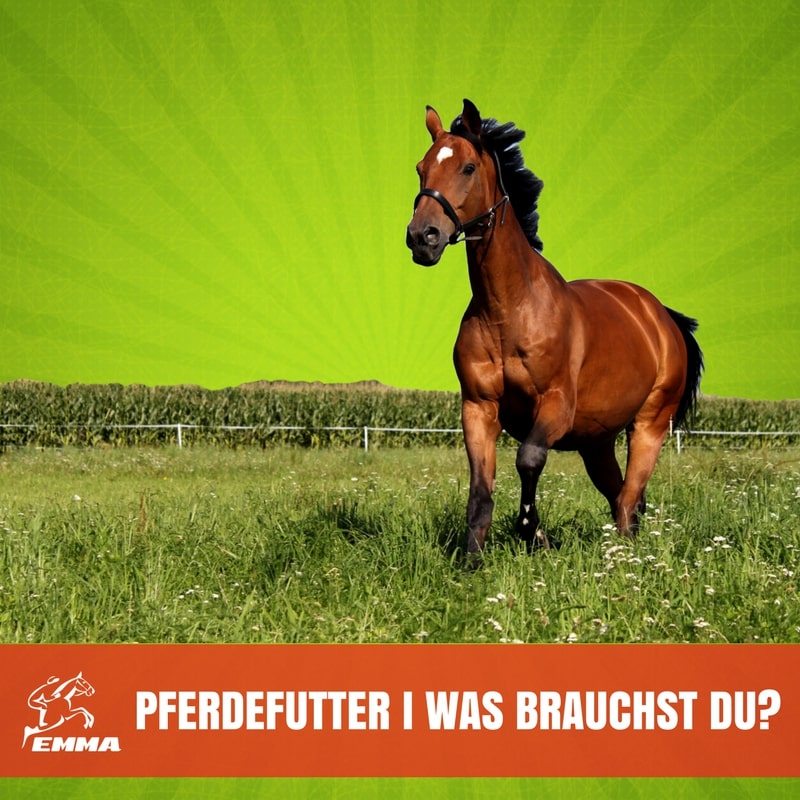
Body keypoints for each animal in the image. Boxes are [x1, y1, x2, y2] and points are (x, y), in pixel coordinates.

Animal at [406, 99, 703, 555]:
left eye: (468, 167)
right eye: (422, 168)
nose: (423, 237)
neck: (509, 312)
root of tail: (662, 316)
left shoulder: (556, 405)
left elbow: (529, 458)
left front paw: (532, 531)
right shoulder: (478, 408)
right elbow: (480, 491)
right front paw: (473, 557)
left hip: (649, 424)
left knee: (629, 498)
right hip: (597, 442)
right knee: (621, 496)